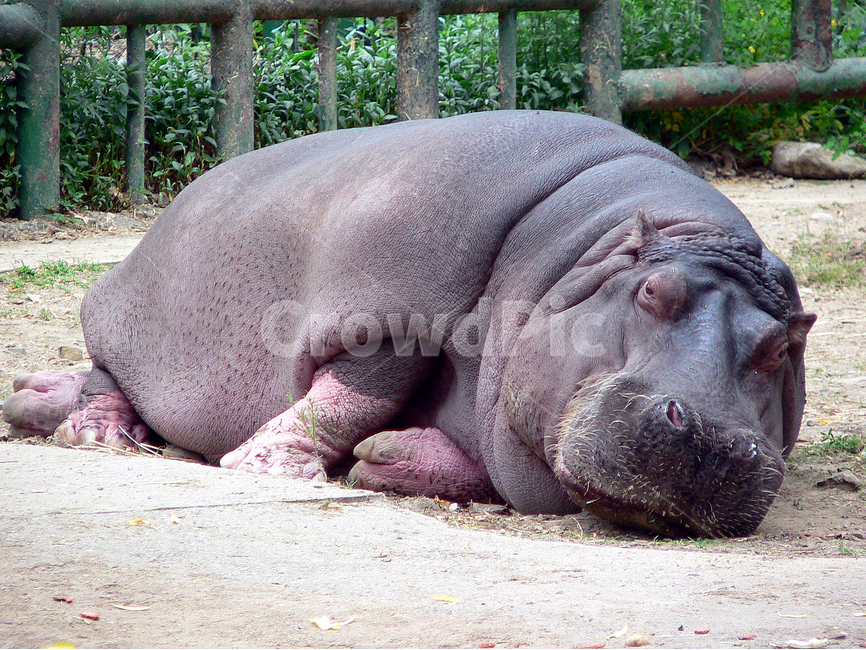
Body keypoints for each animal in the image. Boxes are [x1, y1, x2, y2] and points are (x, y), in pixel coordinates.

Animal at [3, 110, 815, 537]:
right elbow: (359, 389)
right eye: (651, 292)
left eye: (783, 344)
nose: (709, 438)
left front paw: (385, 457)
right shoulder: (395, 307)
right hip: (134, 322)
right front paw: (272, 467)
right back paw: (82, 428)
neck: (579, 259)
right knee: (107, 375)